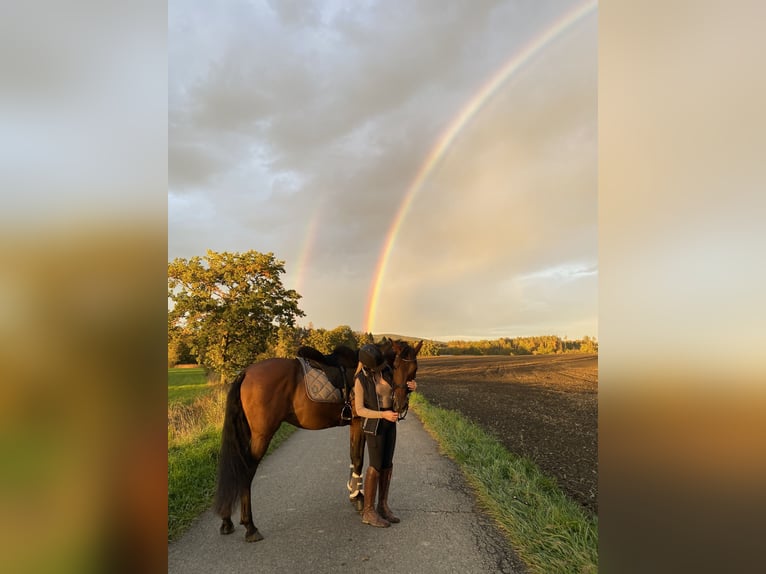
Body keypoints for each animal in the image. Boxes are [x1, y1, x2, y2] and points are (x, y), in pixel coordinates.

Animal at [213, 340, 424, 544]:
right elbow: (358, 459)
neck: (368, 371)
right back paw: (250, 527)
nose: (400, 405)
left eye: (414, 369)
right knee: (246, 471)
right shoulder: (358, 421)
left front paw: (354, 494)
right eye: (395, 366)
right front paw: (359, 499)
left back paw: (226, 521)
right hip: (261, 436)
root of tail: (247, 372)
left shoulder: (352, 424)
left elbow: (352, 457)